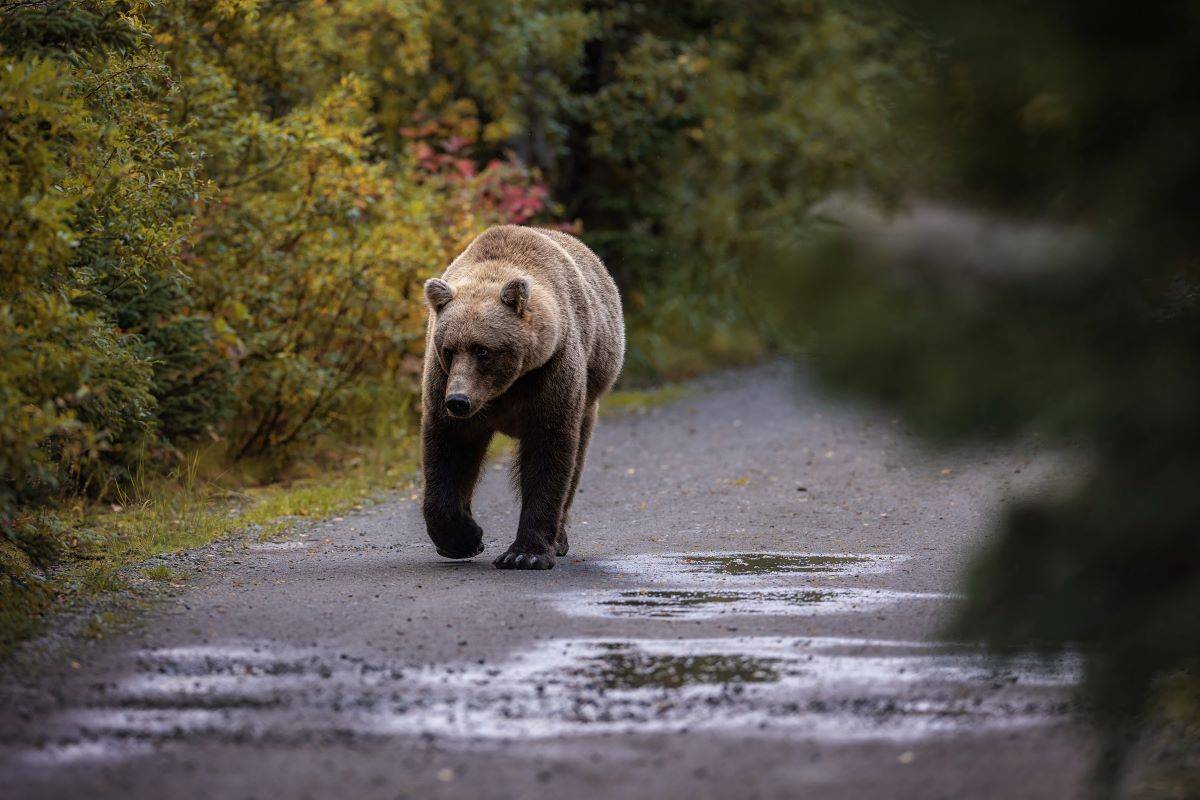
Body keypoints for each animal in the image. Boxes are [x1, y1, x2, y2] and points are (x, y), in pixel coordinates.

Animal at [420, 225, 624, 570]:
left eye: (482, 350)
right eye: (449, 349)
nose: (458, 401)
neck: (506, 387)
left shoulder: (550, 373)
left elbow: (548, 452)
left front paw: (525, 554)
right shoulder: (443, 382)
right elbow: (449, 450)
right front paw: (463, 538)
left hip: (590, 394)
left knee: (577, 459)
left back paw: (559, 538)